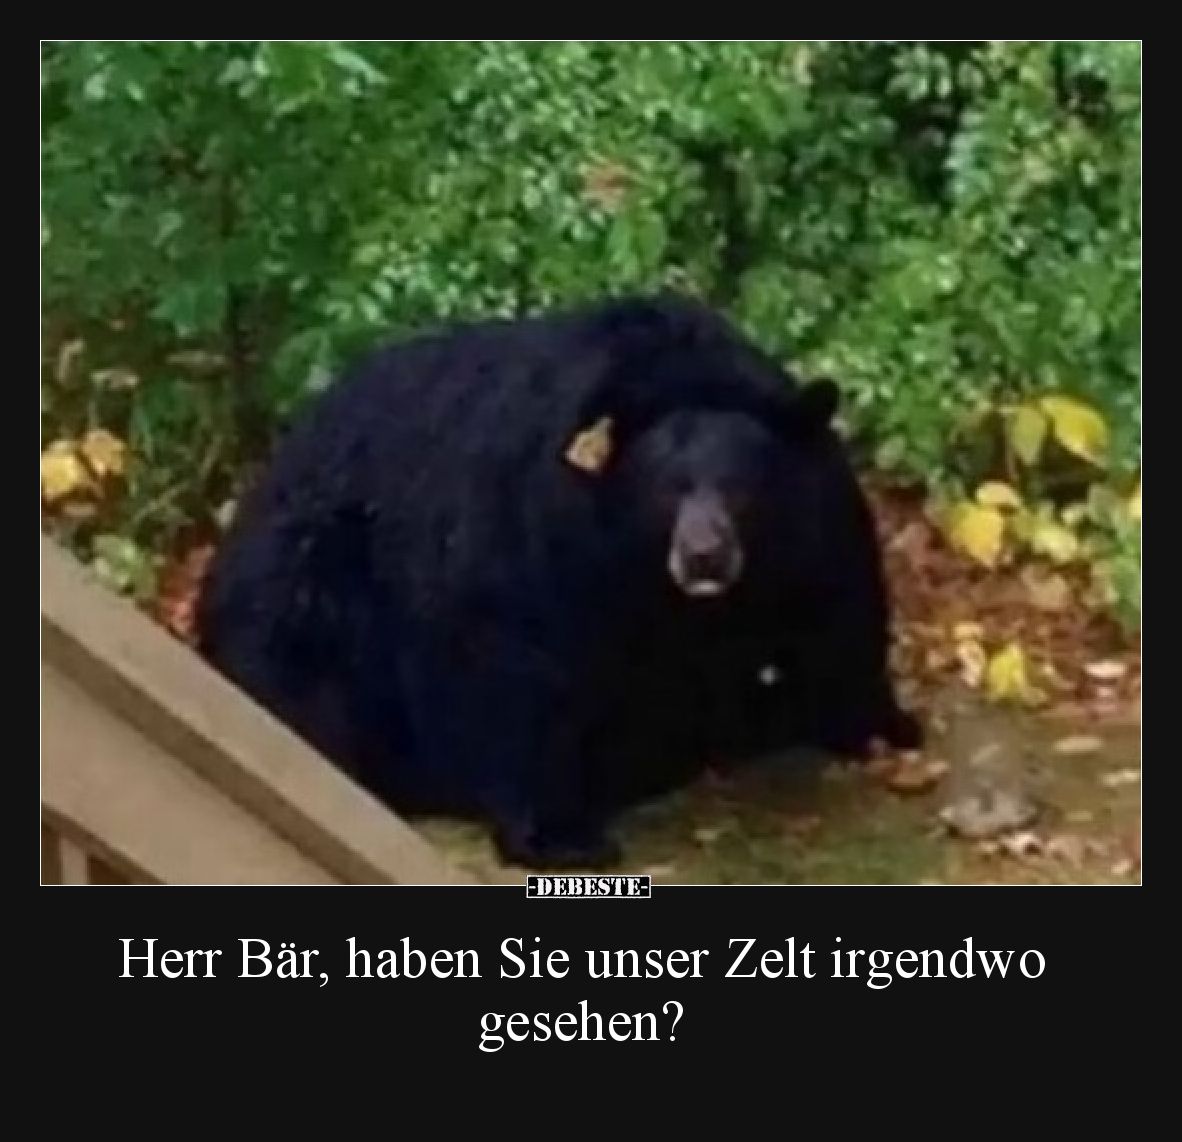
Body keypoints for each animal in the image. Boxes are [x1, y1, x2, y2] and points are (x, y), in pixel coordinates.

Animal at [195, 294, 920, 870]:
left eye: (741, 487)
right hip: (311, 577)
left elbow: (839, 614)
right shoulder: (540, 539)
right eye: (669, 488)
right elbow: (517, 670)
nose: (705, 557)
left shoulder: (811, 533)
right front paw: (562, 836)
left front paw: (885, 724)